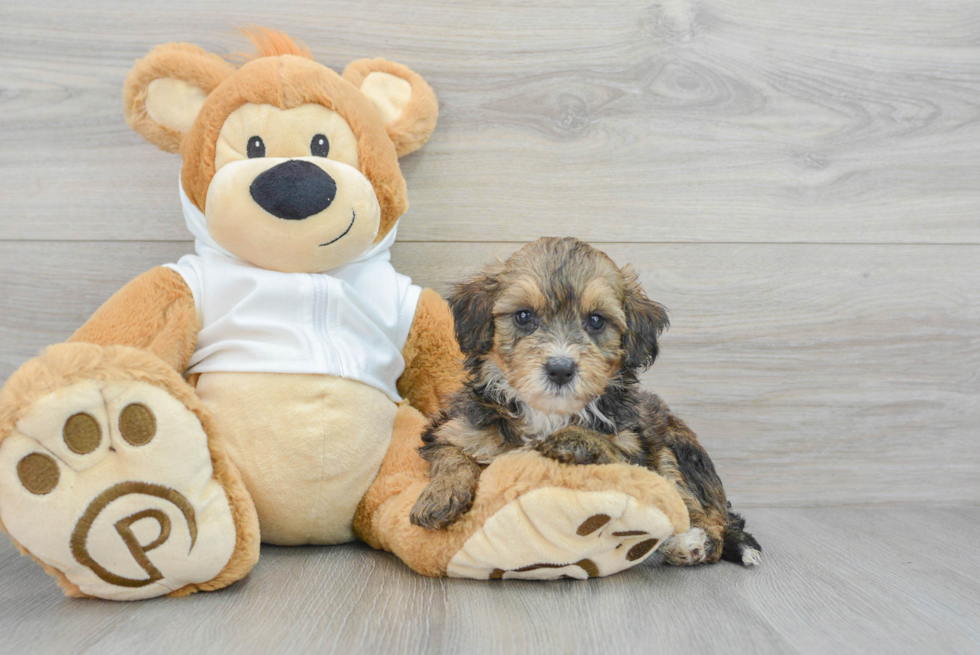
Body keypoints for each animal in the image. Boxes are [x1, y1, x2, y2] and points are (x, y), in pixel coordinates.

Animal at [410, 238, 760, 568]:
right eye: (524, 316)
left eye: (596, 320)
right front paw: (439, 496)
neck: (548, 414)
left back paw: (690, 544)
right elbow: (452, 455)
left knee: (705, 517)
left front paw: (569, 439)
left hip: (675, 453)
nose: (560, 368)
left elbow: (609, 447)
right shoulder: (453, 427)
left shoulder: (634, 448)